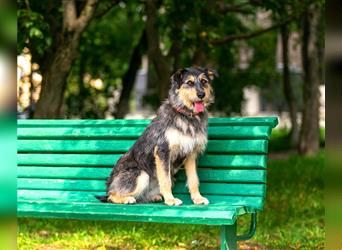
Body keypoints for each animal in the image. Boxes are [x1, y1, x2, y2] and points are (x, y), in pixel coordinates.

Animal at [95, 66, 219, 205]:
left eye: (204, 81)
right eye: (190, 83)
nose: (201, 95)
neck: (186, 115)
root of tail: (109, 185)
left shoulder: (191, 154)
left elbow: (193, 180)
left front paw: (197, 198)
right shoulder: (163, 151)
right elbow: (165, 181)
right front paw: (170, 200)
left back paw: (153, 197)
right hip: (141, 175)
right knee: (111, 196)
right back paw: (126, 198)